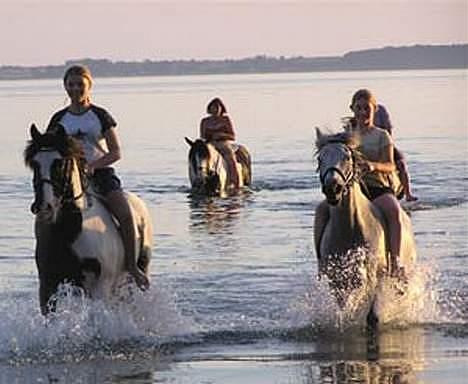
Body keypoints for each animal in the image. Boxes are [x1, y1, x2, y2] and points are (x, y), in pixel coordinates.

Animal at [24, 124, 153, 314]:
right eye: (34, 164)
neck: (72, 231)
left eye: (59, 163)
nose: (43, 207)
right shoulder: (48, 286)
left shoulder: (99, 288)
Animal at [314, 128, 416, 324]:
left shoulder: (372, 276)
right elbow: (345, 310)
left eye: (347, 157)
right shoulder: (337, 281)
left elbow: (371, 315)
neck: (350, 227)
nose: (333, 188)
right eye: (320, 159)